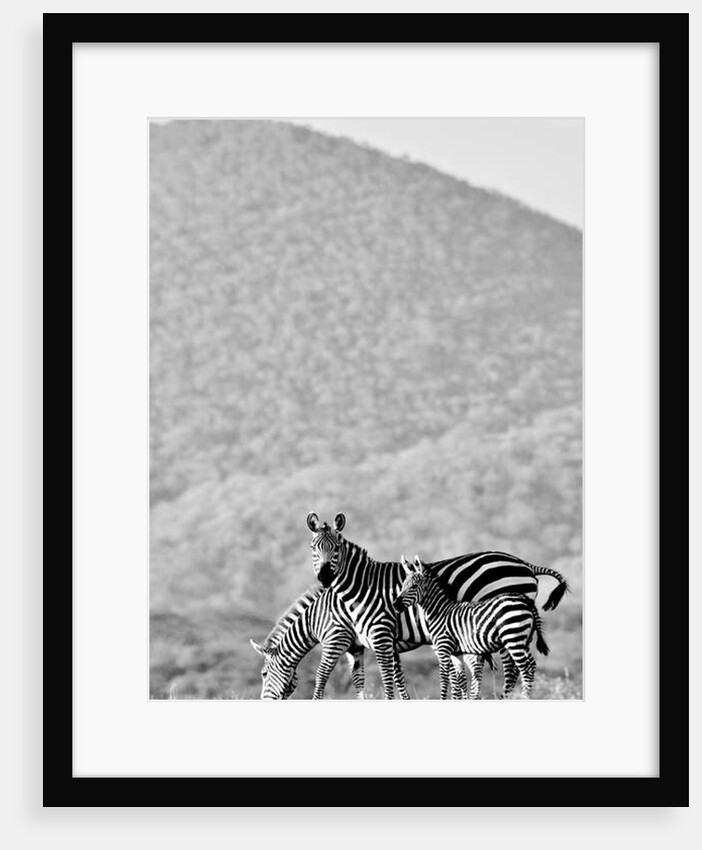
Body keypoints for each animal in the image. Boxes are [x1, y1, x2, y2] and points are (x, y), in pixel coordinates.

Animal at [394, 555, 549, 699]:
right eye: (402, 586)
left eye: (413, 587)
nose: (395, 605)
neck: (440, 611)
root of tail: (525, 601)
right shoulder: (456, 652)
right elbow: (460, 679)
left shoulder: (443, 647)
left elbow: (443, 679)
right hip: (522, 639)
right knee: (531, 666)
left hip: (512, 638)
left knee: (525, 668)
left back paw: (524, 697)